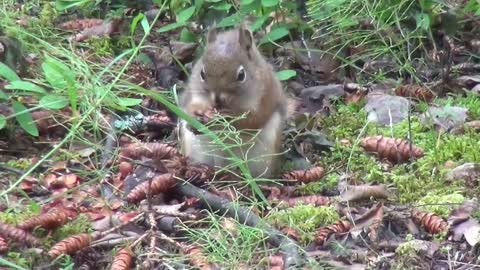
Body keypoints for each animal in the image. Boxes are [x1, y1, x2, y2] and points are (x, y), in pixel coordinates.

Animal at [179, 24, 286, 178]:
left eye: (241, 75)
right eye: (202, 73)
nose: (217, 99)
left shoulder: (264, 98)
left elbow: (253, 120)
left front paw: (227, 117)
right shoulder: (193, 94)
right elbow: (190, 107)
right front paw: (196, 116)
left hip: (264, 156)